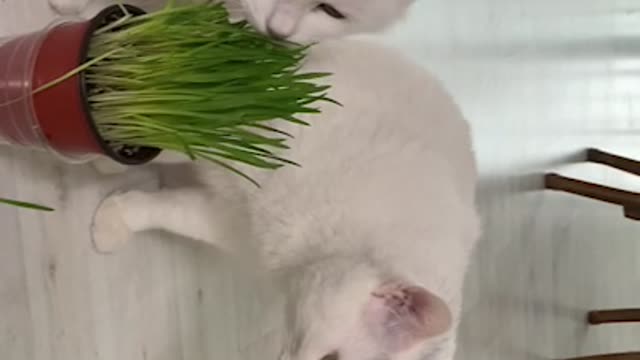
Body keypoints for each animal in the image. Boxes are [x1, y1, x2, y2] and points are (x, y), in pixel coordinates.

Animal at [91, 38, 480, 360]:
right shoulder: (255, 132)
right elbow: (178, 132)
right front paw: (107, 146)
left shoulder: (231, 223)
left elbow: (168, 210)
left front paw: (113, 219)